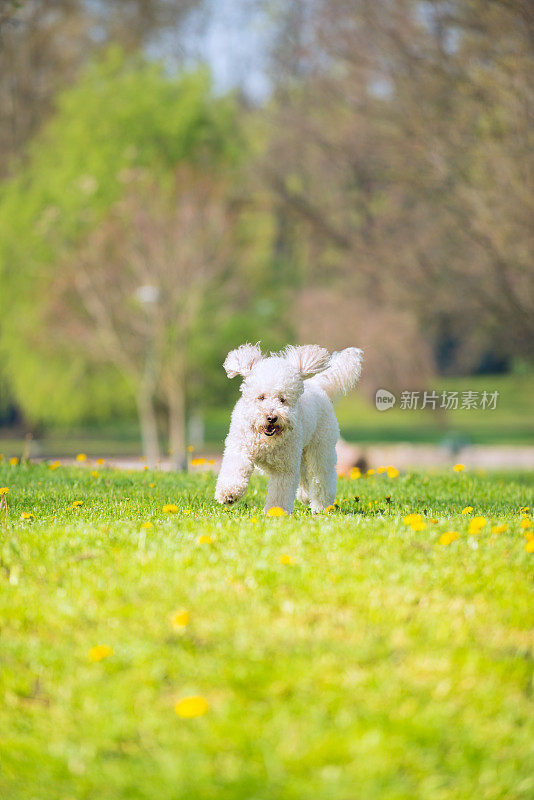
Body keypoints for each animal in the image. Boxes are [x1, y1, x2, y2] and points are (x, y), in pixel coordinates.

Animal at [217, 342, 364, 512]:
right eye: (261, 397)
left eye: (283, 399)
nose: (271, 418)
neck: (266, 441)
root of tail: (318, 386)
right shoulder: (239, 449)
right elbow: (235, 469)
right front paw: (229, 494)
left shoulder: (285, 468)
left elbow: (280, 493)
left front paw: (275, 512)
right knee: (306, 474)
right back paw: (306, 496)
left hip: (320, 449)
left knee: (322, 478)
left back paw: (320, 506)